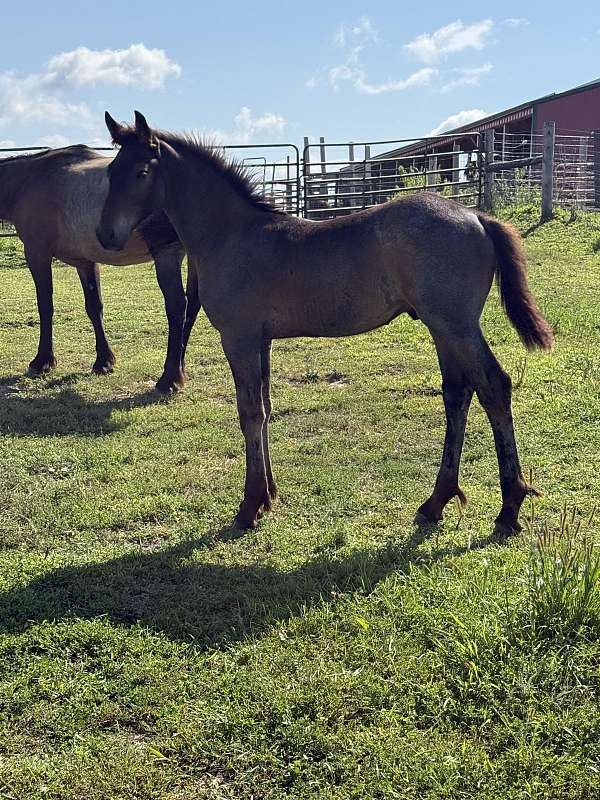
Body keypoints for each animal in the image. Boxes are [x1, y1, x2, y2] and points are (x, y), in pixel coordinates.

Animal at [0, 144, 200, 392]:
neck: (29, 179)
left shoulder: (37, 254)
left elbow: (45, 306)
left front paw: (42, 361)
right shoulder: (85, 262)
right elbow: (94, 307)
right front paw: (104, 362)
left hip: (167, 255)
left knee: (177, 307)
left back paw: (170, 378)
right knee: (193, 305)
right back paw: (180, 367)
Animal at [97, 111, 553, 535]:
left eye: (141, 172)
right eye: (110, 171)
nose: (106, 235)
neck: (232, 235)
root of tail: (478, 217)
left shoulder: (238, 338)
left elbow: (249, 413)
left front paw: (249, 506)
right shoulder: (261, 341)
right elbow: (265, 408)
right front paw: (268, 496)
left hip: (456, 324)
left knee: (494, 386)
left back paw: (509, 507)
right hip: (442, 327)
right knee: (458, 393)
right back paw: (435, 501)